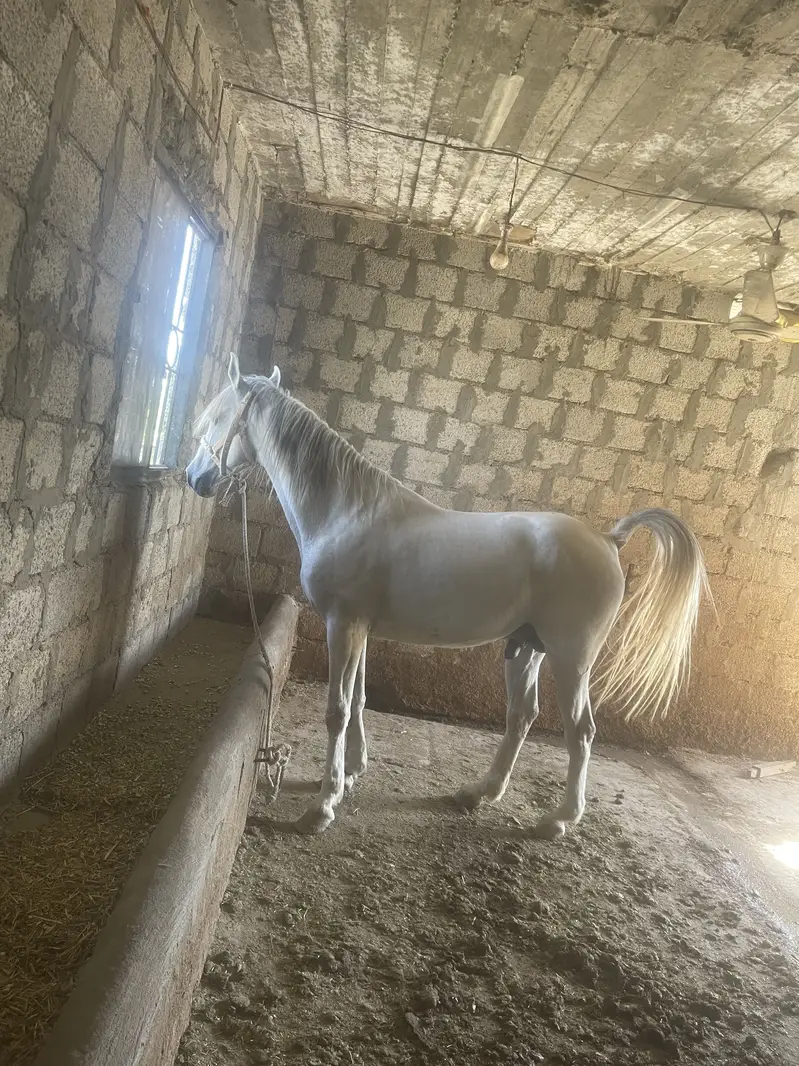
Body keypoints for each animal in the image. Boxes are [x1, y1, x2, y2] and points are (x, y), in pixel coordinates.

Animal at [187, 353, 708, 838]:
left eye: (216, 417)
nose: (195, 478)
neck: (346, 511)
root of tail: (608, 539)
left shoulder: (343, 625)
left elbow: (337, 710)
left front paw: (323, 806)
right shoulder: (360, 629)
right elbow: (358, 700)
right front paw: (352, 772)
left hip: (570, 658)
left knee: (580, 732)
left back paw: (558, 820)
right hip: (528, 648)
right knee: (522, 716)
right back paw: (480, 793)